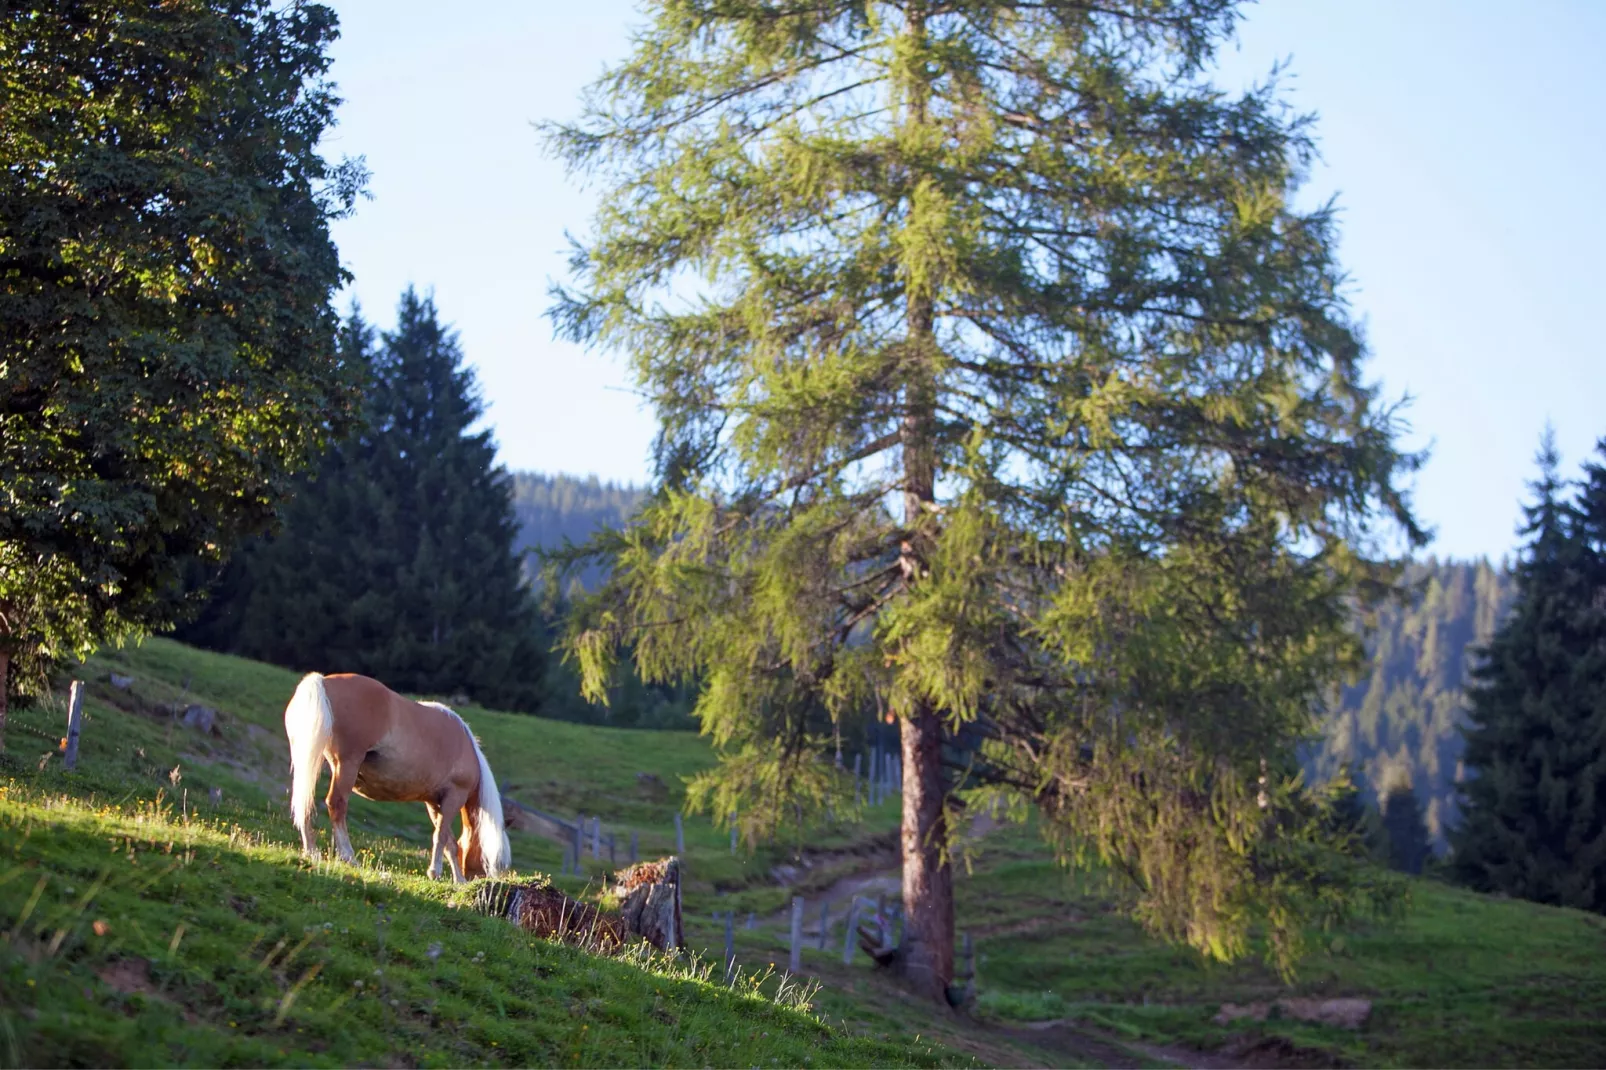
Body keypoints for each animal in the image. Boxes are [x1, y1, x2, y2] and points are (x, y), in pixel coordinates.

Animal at [282, 671, 507, 880]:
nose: (483, 879)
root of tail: (323, 681)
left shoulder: (434, 803)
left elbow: (449, 841)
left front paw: (457, 880)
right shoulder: (453, 797)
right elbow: (442, 836)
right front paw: (438, 873)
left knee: (305, 802)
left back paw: (312, 852)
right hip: (346, 765)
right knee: (336, 804)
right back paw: (348, 856)